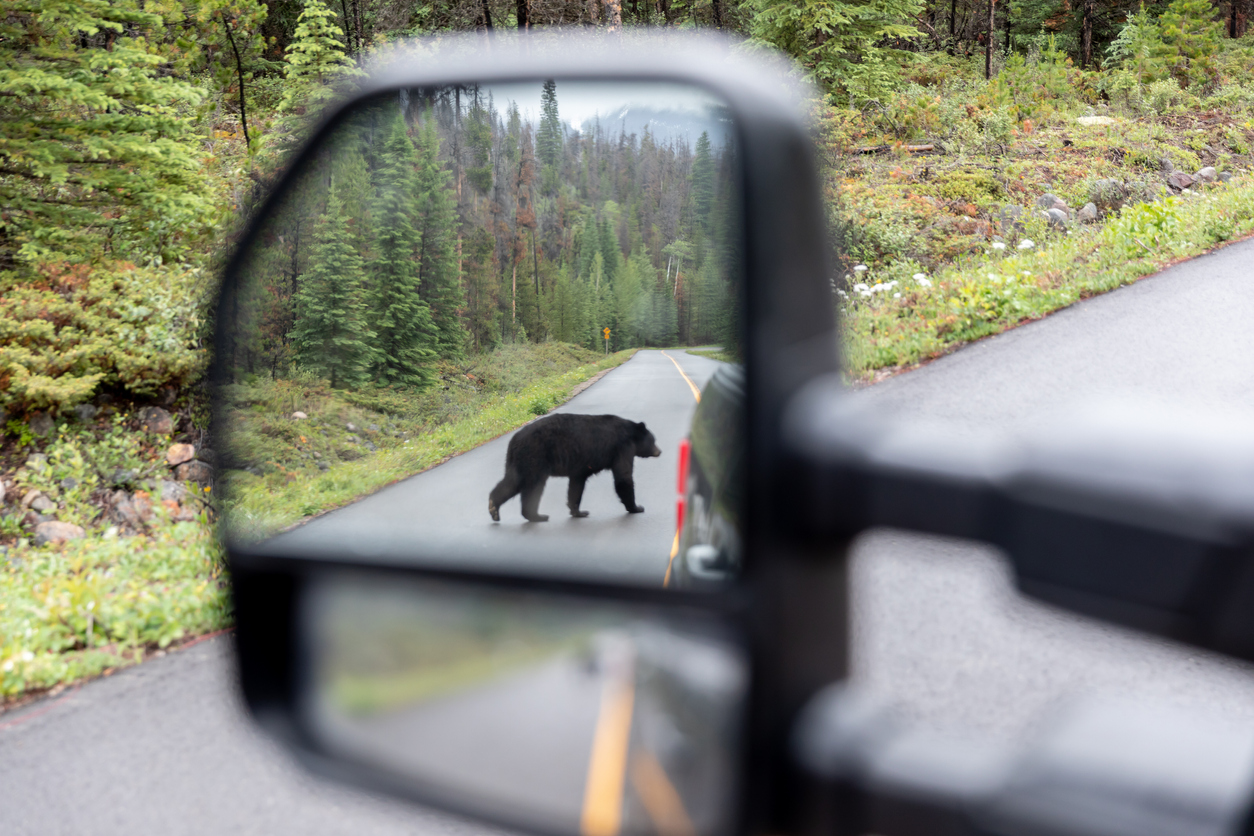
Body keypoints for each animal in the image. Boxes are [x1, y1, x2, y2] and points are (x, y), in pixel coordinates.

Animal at [488, 413, 662, 522]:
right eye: (653, 440)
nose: (659, 451)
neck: (631, 433)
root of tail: (514, 439)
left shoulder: (580, 466)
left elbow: (576, 486)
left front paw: (578, 512)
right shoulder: (622, 447)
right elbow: (623, 477)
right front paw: (636, 507)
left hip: (518, 461)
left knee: (512, 482)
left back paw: (494, 508)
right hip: (535, 457)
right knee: (532, 486)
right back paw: (537, 516)